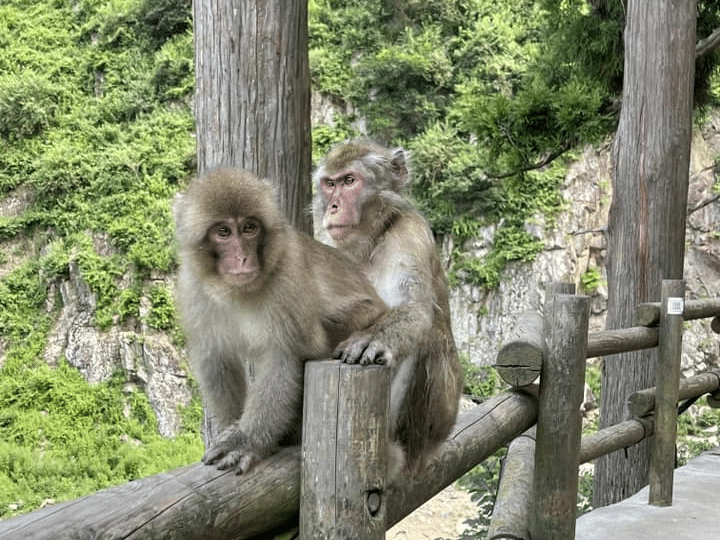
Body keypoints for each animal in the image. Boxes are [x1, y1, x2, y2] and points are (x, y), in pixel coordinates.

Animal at [174, 168, 388, 472]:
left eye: (249, 228)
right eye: (223, 232)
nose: (242, 257)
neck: (238, 292)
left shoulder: (287, 275)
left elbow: (282, 356)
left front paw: (245, 440)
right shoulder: (193, 286)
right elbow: (216, 359)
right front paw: (233, 427)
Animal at [312, 140, 464, 476]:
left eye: (350, 181)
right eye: (329, 184)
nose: (333, 207)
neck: (369, 239)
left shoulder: (410, 234)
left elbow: (415, 312)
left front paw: (373, 338)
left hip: (434, 421)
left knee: (426, 338)